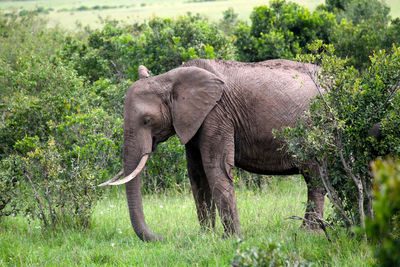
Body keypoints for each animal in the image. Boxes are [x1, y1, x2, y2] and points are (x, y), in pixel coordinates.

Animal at [100, 59, 324, 243]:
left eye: (147, 120)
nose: (161, 237)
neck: (168, 78)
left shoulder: (216, 113)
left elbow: (215, 167)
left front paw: (231, 239)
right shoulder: (193, 120)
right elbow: (197, 173)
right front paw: (205, 237)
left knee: (314, 177)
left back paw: (308, 233)